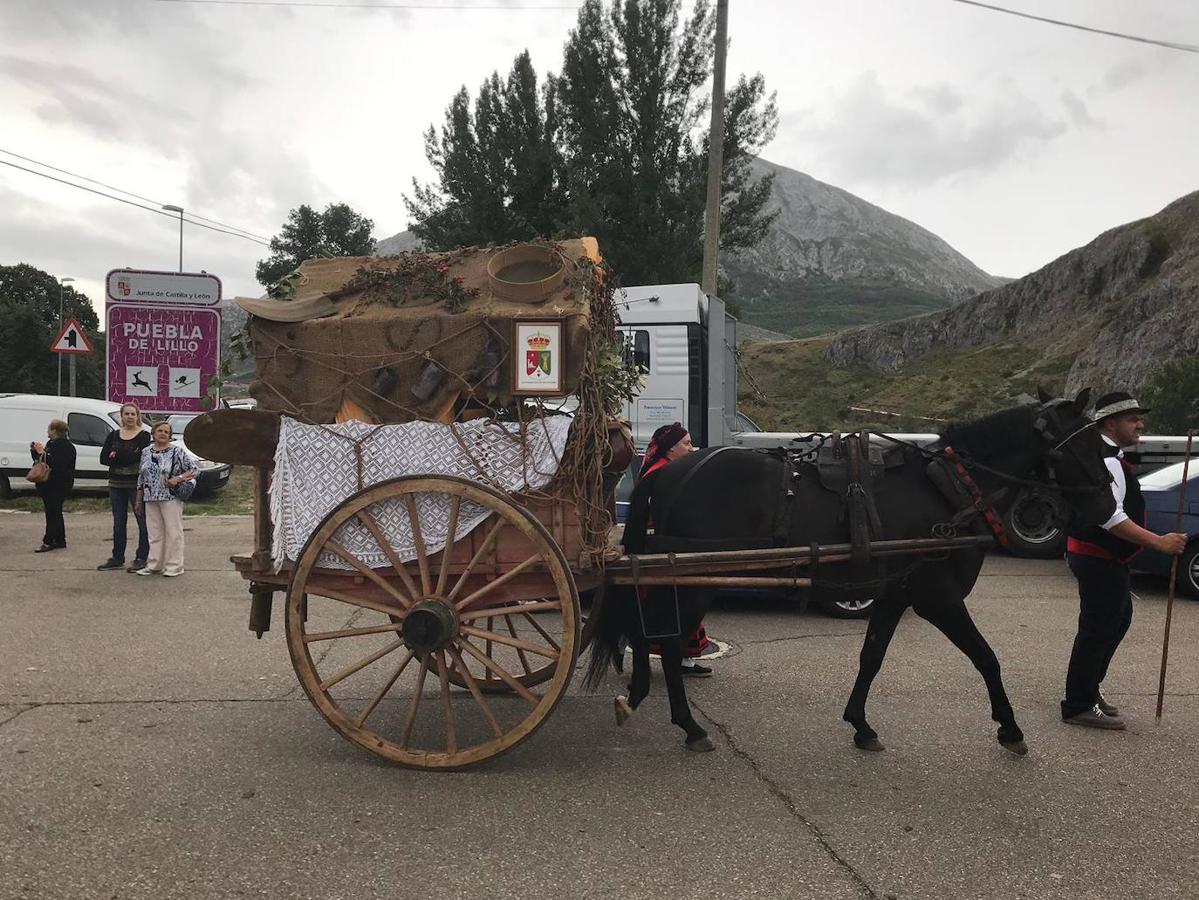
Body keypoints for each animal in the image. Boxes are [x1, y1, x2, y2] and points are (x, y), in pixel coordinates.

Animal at [585, 390, 1117, 757]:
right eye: (1088, 444)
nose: (1107, 506)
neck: (949, 489)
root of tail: (665, 474)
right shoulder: (938, 597)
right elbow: (986, 658)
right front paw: (1009, 728)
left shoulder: (893, 594)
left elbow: (871, 657)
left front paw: (860, 724)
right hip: (694, 579)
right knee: (669, 640)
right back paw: (688, 725)